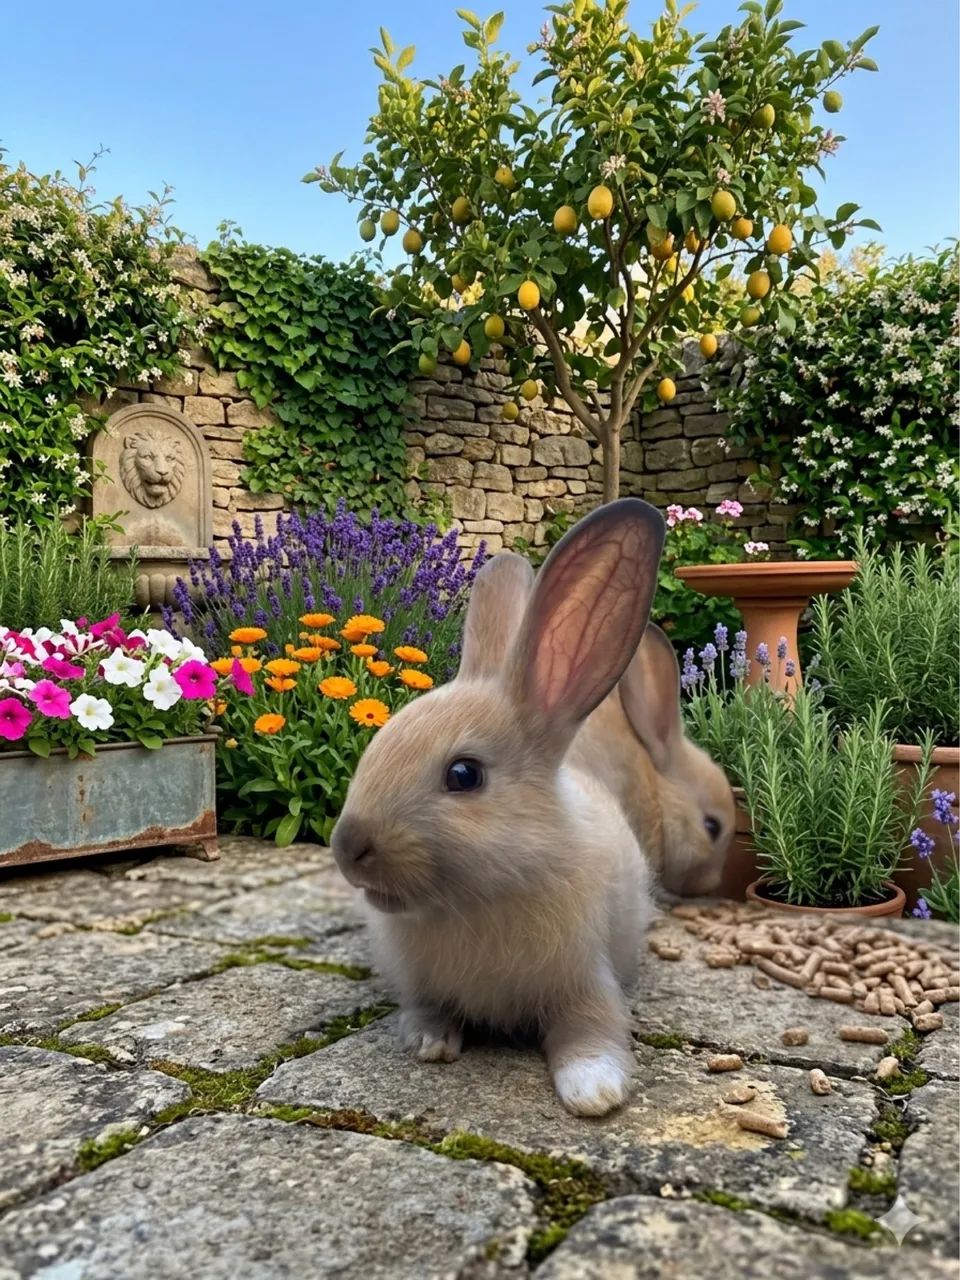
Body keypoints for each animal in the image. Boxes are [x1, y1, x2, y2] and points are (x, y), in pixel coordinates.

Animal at [330, 498, 666, 1117]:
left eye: (464, 775)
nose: (348, 848)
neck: (483, 899)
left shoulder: (586, 978)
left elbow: (593, 1029)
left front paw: (594, 1091)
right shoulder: (423, 984)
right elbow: (428, 1009)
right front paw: (429, 1043)